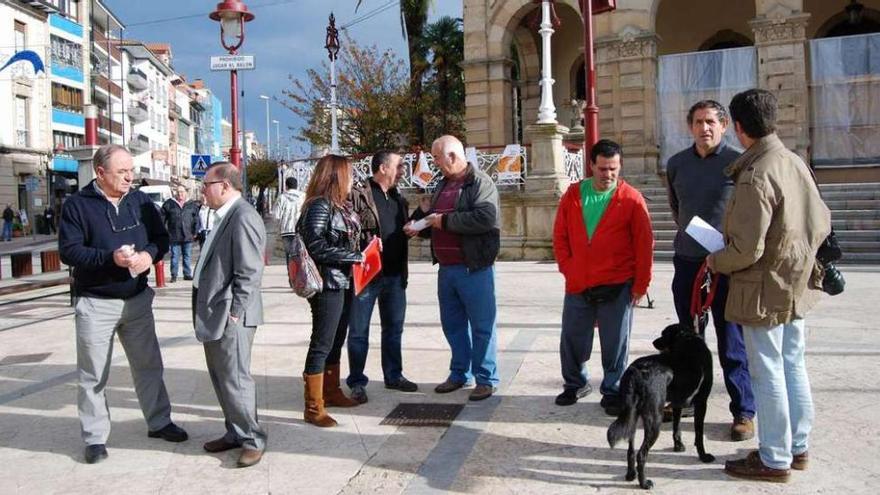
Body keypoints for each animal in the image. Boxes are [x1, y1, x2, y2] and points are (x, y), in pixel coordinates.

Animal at [604, 324, 716, 490]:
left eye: (664, 334)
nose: (654, 342)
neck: (688, 338)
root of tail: (637, 371)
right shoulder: (701, 403)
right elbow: (699, 434)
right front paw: (703, 456)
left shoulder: (677, 403)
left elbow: (677, 427)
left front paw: (678, 446)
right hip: (655, 418)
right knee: (641, 454)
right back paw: (644, 483)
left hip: (633, 415)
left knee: (631, 450)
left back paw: (631, 475)